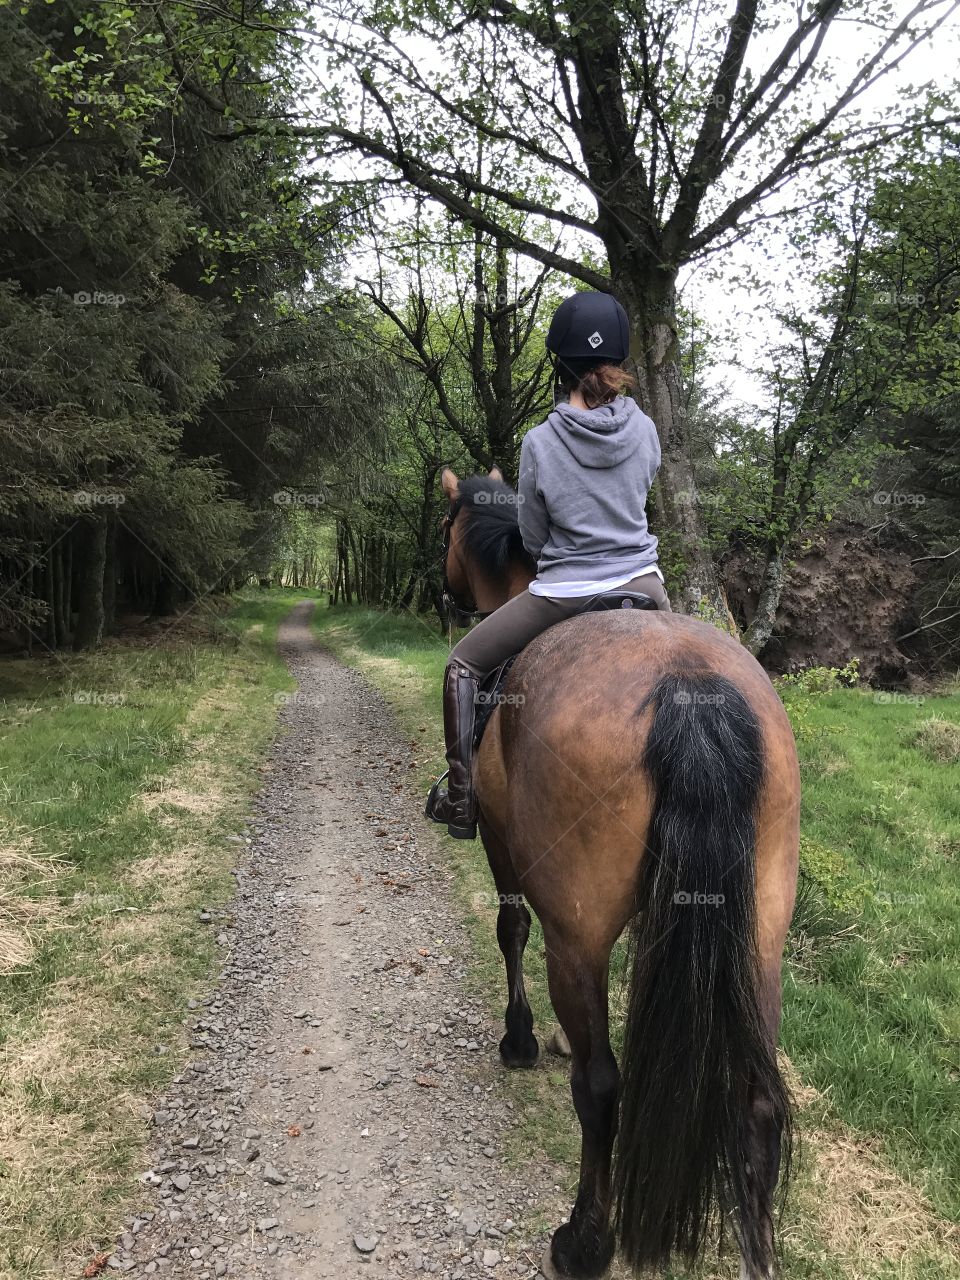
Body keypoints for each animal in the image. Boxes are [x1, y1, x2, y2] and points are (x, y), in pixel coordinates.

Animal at [440, 471, 798, 1280]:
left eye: (445, 529)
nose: (443, 591)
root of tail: (690, 687)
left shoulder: (504, 847)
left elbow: (510, 928)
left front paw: (521, 1040)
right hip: (760, 936)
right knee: (758, 1104)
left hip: (577, 935)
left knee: (601, 1086)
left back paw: (583, 1240)